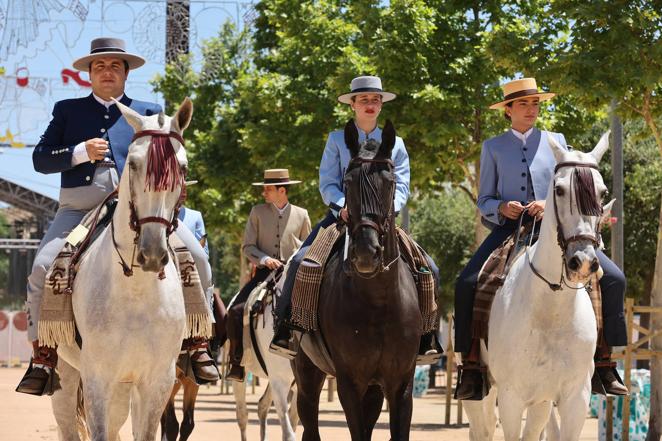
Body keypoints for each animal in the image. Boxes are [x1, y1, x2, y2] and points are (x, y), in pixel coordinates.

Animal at [52, 99, 193, 440]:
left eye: (182, 168)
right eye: (134, 164)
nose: (152, 254)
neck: (136, 290)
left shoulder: (157, 382)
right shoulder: (97, 378)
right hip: (66, 375)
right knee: (67, 425)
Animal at [294, 120, 420, 440]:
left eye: (390, 182)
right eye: (347, 182)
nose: (365, 253)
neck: (378, 301)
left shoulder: (400, 384)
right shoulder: (349, 383)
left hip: (373, 389)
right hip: (306, 372)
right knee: (309, 423)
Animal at [464, 131, 616, 440]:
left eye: (603, 192)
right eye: (558, 190)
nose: (582, 262)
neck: (551, 310)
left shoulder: (575, 399)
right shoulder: (511, 398)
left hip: (541, 402)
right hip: (484, 391)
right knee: (481, 429)